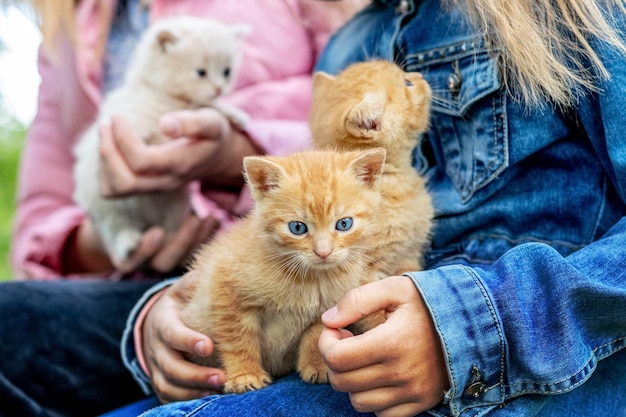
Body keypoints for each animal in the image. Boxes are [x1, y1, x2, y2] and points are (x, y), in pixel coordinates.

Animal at [73, 16, 249, 264]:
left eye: (226, 71)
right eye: (200, 72)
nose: (218, 88)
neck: (167, 96)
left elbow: (208, 107)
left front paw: (235, 114)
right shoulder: (134, 119)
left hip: (175, 203)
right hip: (103, 204)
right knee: (115, 225)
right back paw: (128, 242)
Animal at [180, 148, 386, 392]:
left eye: (344, 224)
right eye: (297, 228)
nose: (323, 252)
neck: (308, 278)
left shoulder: (329, 306)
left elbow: (316, 333)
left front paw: (317, 365)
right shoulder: (224, 287)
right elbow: (237, 338)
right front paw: (244, 375)